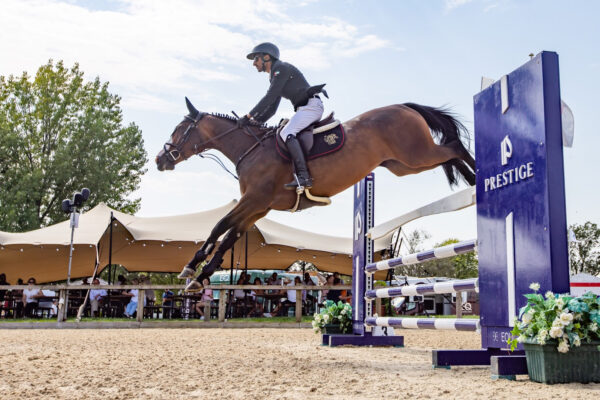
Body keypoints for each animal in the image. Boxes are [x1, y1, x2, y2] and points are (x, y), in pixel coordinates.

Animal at [157, 97, 476, 290]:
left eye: (179, 129)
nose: (161, 160)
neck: (251, 149)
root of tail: (404, 107)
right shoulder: (258, 208)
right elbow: (229, 235)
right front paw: (201, 275)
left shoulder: (254, 200)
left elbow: (219, 226)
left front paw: (190, 268)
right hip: (404, 165)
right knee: (448, 155)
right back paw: (471, 180)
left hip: (416, 155)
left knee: (454, 147)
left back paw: (476, 179)